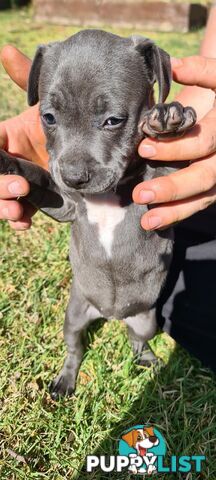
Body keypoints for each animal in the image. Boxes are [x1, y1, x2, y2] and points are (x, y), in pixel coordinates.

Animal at [0, 29, 196, 398]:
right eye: (48, 118)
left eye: (113, 121)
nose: (74, 176)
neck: (107, 195)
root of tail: (111, 314)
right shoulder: (65, 203)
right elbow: (35, 177)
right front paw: (5, 161)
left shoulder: (157, 195)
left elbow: (171, 165)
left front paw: (169, 120)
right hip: (74, 314)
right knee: (75, 348)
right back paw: (65, 380)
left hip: (146, 320)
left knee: (137, 339)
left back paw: (148, 360)